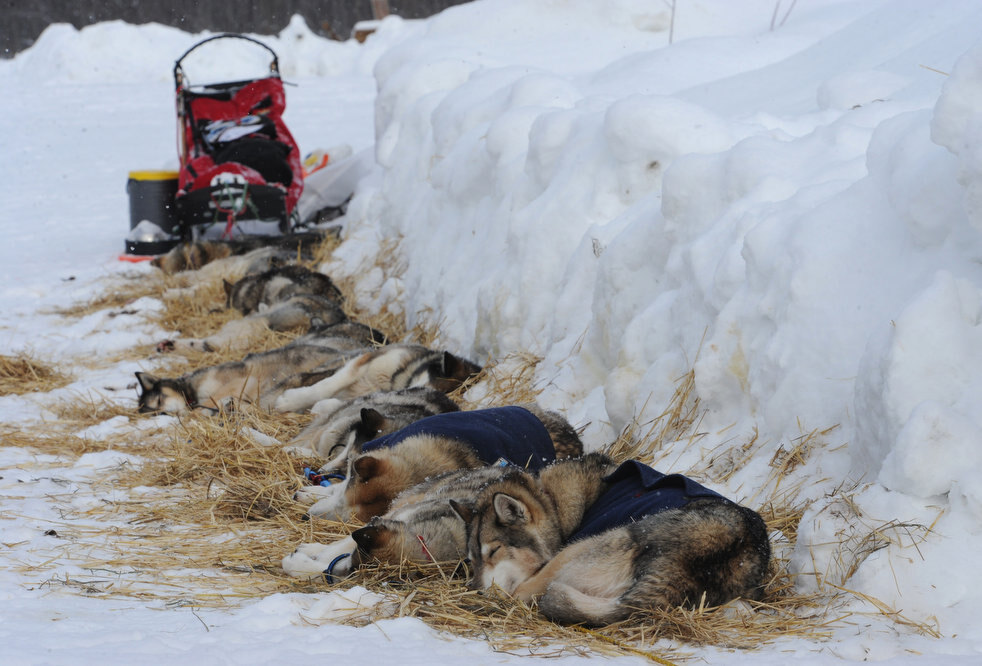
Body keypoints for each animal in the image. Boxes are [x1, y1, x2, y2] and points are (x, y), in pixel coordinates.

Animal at [458, 452, 772, 624]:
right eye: (472, 560)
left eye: (493, 552)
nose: (476, 590)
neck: (552, 502)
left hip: (580, 550)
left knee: (524, 592)